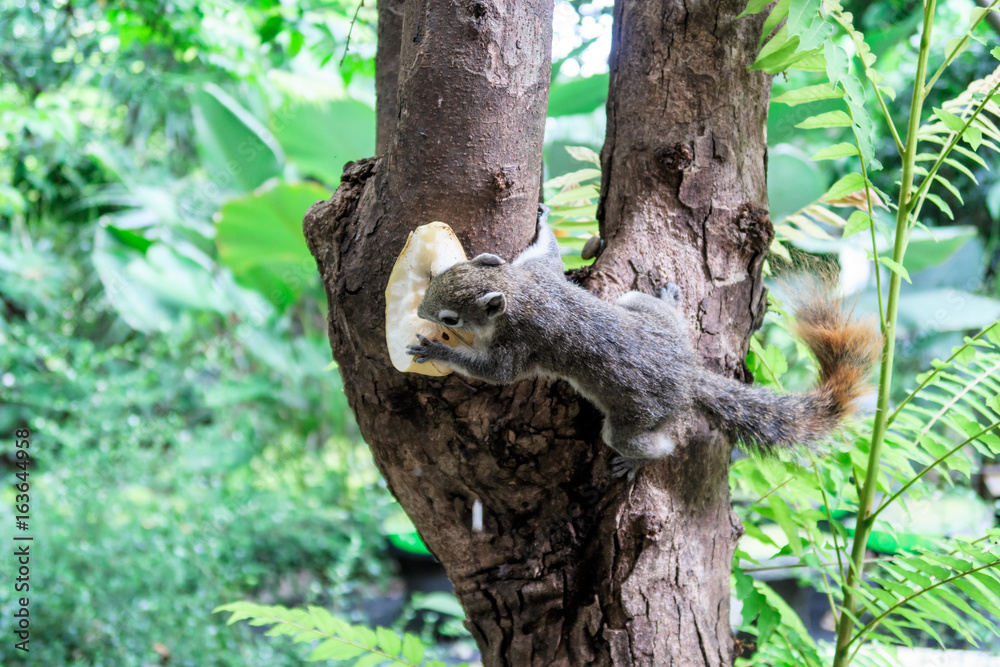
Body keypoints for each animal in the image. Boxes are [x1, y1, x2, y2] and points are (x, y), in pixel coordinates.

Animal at [407, 205, 882, 476]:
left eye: (450, 317)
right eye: (442, 274)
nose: (420, 311)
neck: (520, 293)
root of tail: (689, 376)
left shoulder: (519, 345)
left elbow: (494, 373)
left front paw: (436, 349)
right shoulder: (537, 273)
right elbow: (547, 253)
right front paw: (543, 222)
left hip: (634, 421)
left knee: (655, 444)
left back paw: (638, 460)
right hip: (637, 306)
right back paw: (669, 299)